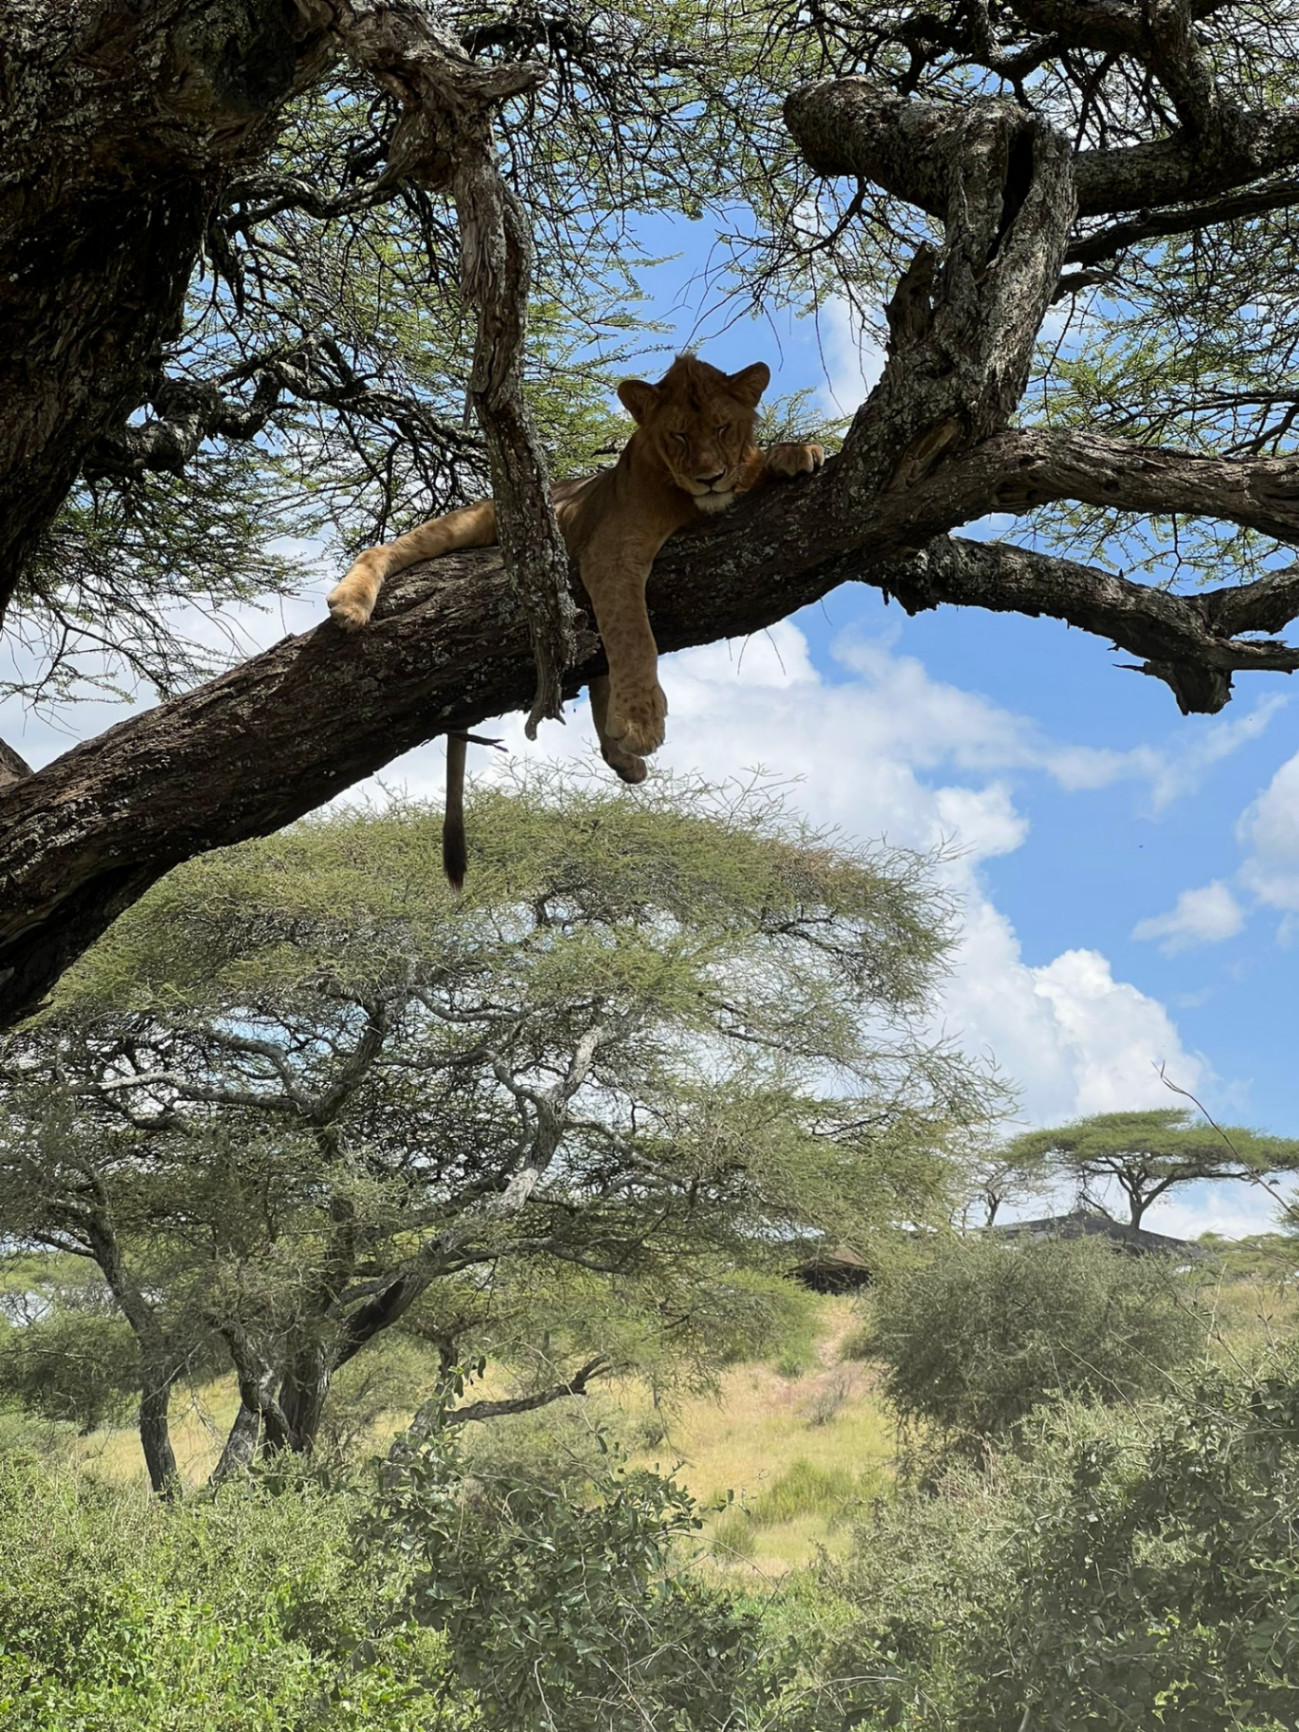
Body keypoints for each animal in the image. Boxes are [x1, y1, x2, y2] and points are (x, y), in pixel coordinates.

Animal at [326, 354, 824, 885]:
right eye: (679, 436)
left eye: (722, 427)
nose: (710, 477)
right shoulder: (613, 552)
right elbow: (635, 636)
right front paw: (642, 721)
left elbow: (756, 463)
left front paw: (796, 453)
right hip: (469, 522)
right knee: (384, 549)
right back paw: (350, 604)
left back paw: (622, 757)